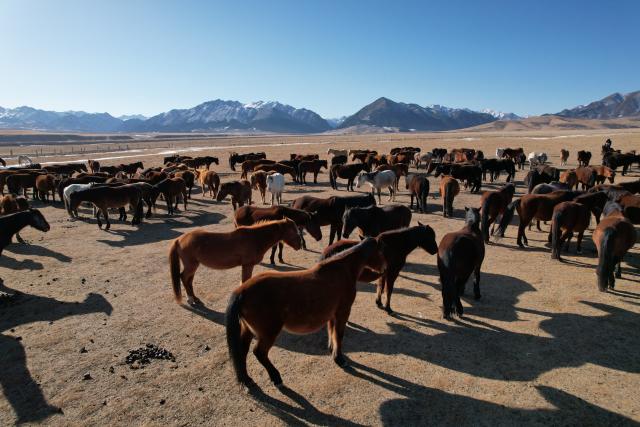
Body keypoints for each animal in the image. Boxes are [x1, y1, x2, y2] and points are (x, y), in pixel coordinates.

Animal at [170, 218, 303, 307]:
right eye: (293, 231)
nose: (300, 245)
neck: (255, 238)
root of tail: (179, 240)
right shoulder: (247, 265)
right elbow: (245, 280)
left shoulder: (247, 266)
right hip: (191, 265)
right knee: (183, 277)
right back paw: (191, 299)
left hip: (194, 266)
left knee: (189, 280)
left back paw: (195, 298)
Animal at [225, 237, 380, 387]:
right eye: (381, 252)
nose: (382, 272)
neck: (341, 270)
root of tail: (242, 291)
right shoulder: (342, 312)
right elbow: (338, 335)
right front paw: (339, 359)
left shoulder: (332, 314)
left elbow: (332, 333)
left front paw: (333, 351)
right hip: (268, 333)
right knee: (259, 353)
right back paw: (276, 377)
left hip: (248, 330)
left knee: (241, 351)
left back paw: (246, 379)